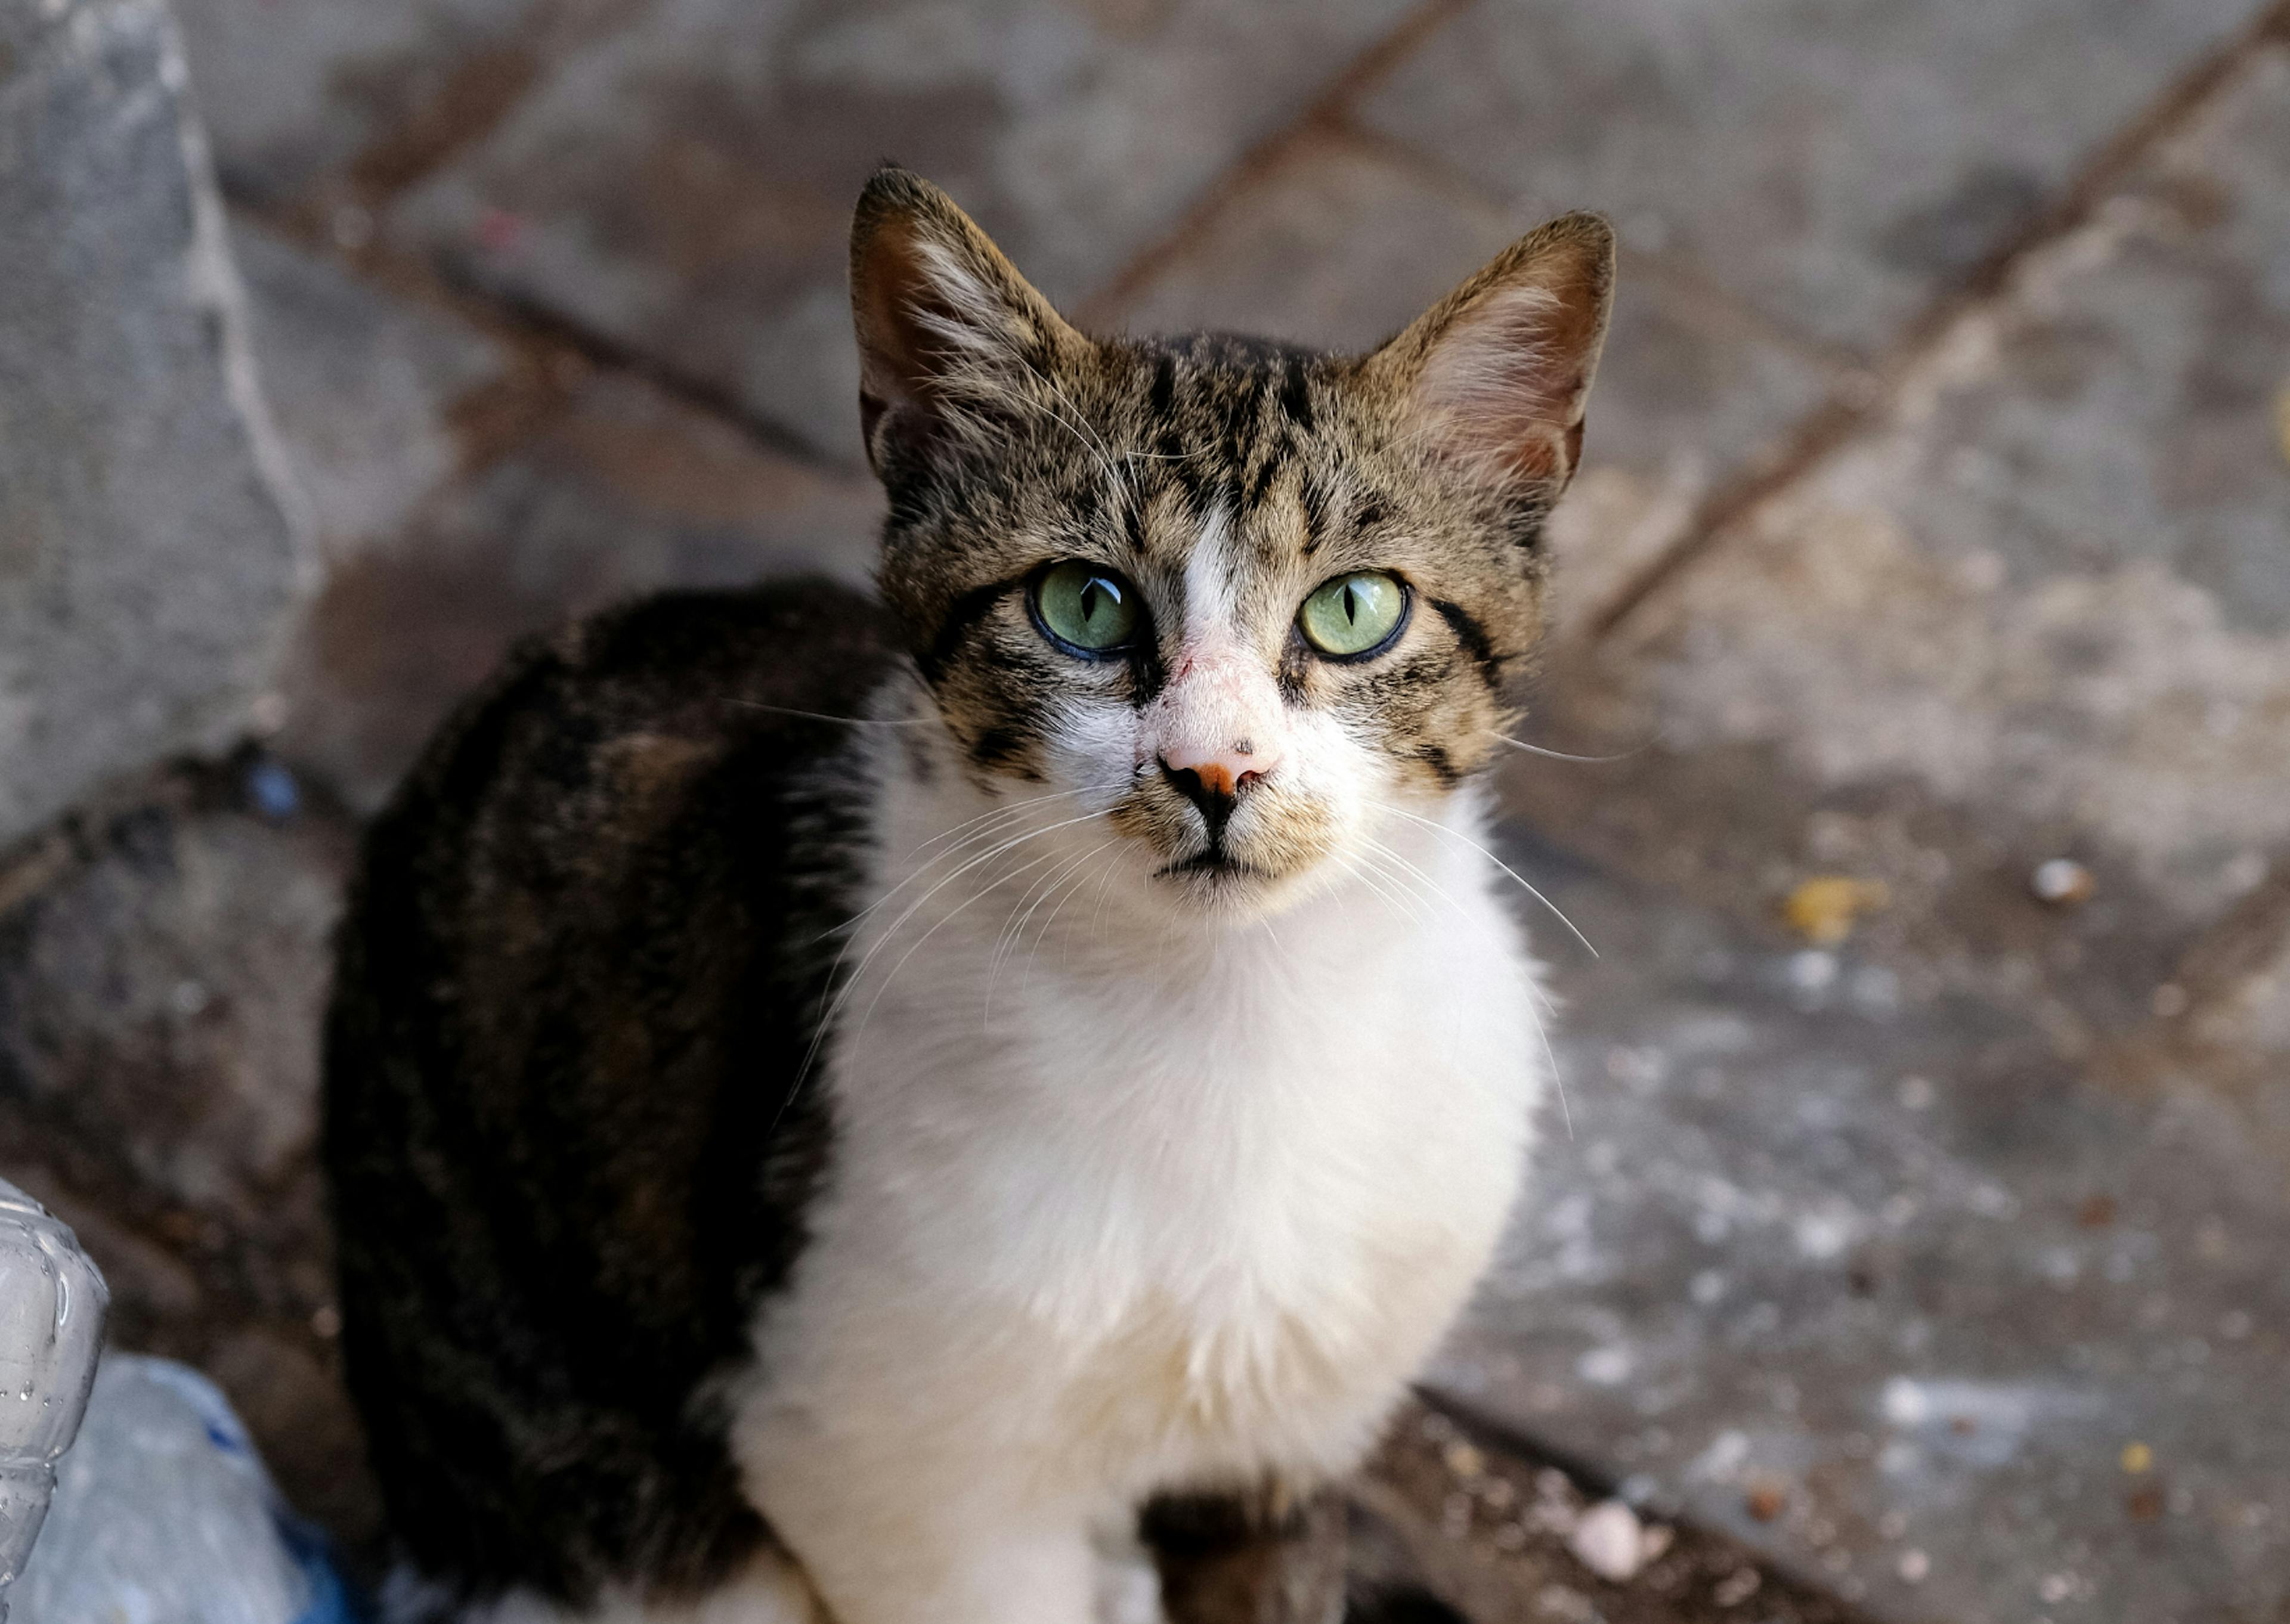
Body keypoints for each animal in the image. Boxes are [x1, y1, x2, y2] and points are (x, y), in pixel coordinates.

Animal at [323, 168, 1621, 1622]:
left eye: (1354, 610)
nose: (1215, 768)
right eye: (1082, 604)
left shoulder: (1295, 1428)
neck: (1229, 1014)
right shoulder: (878, 1453)